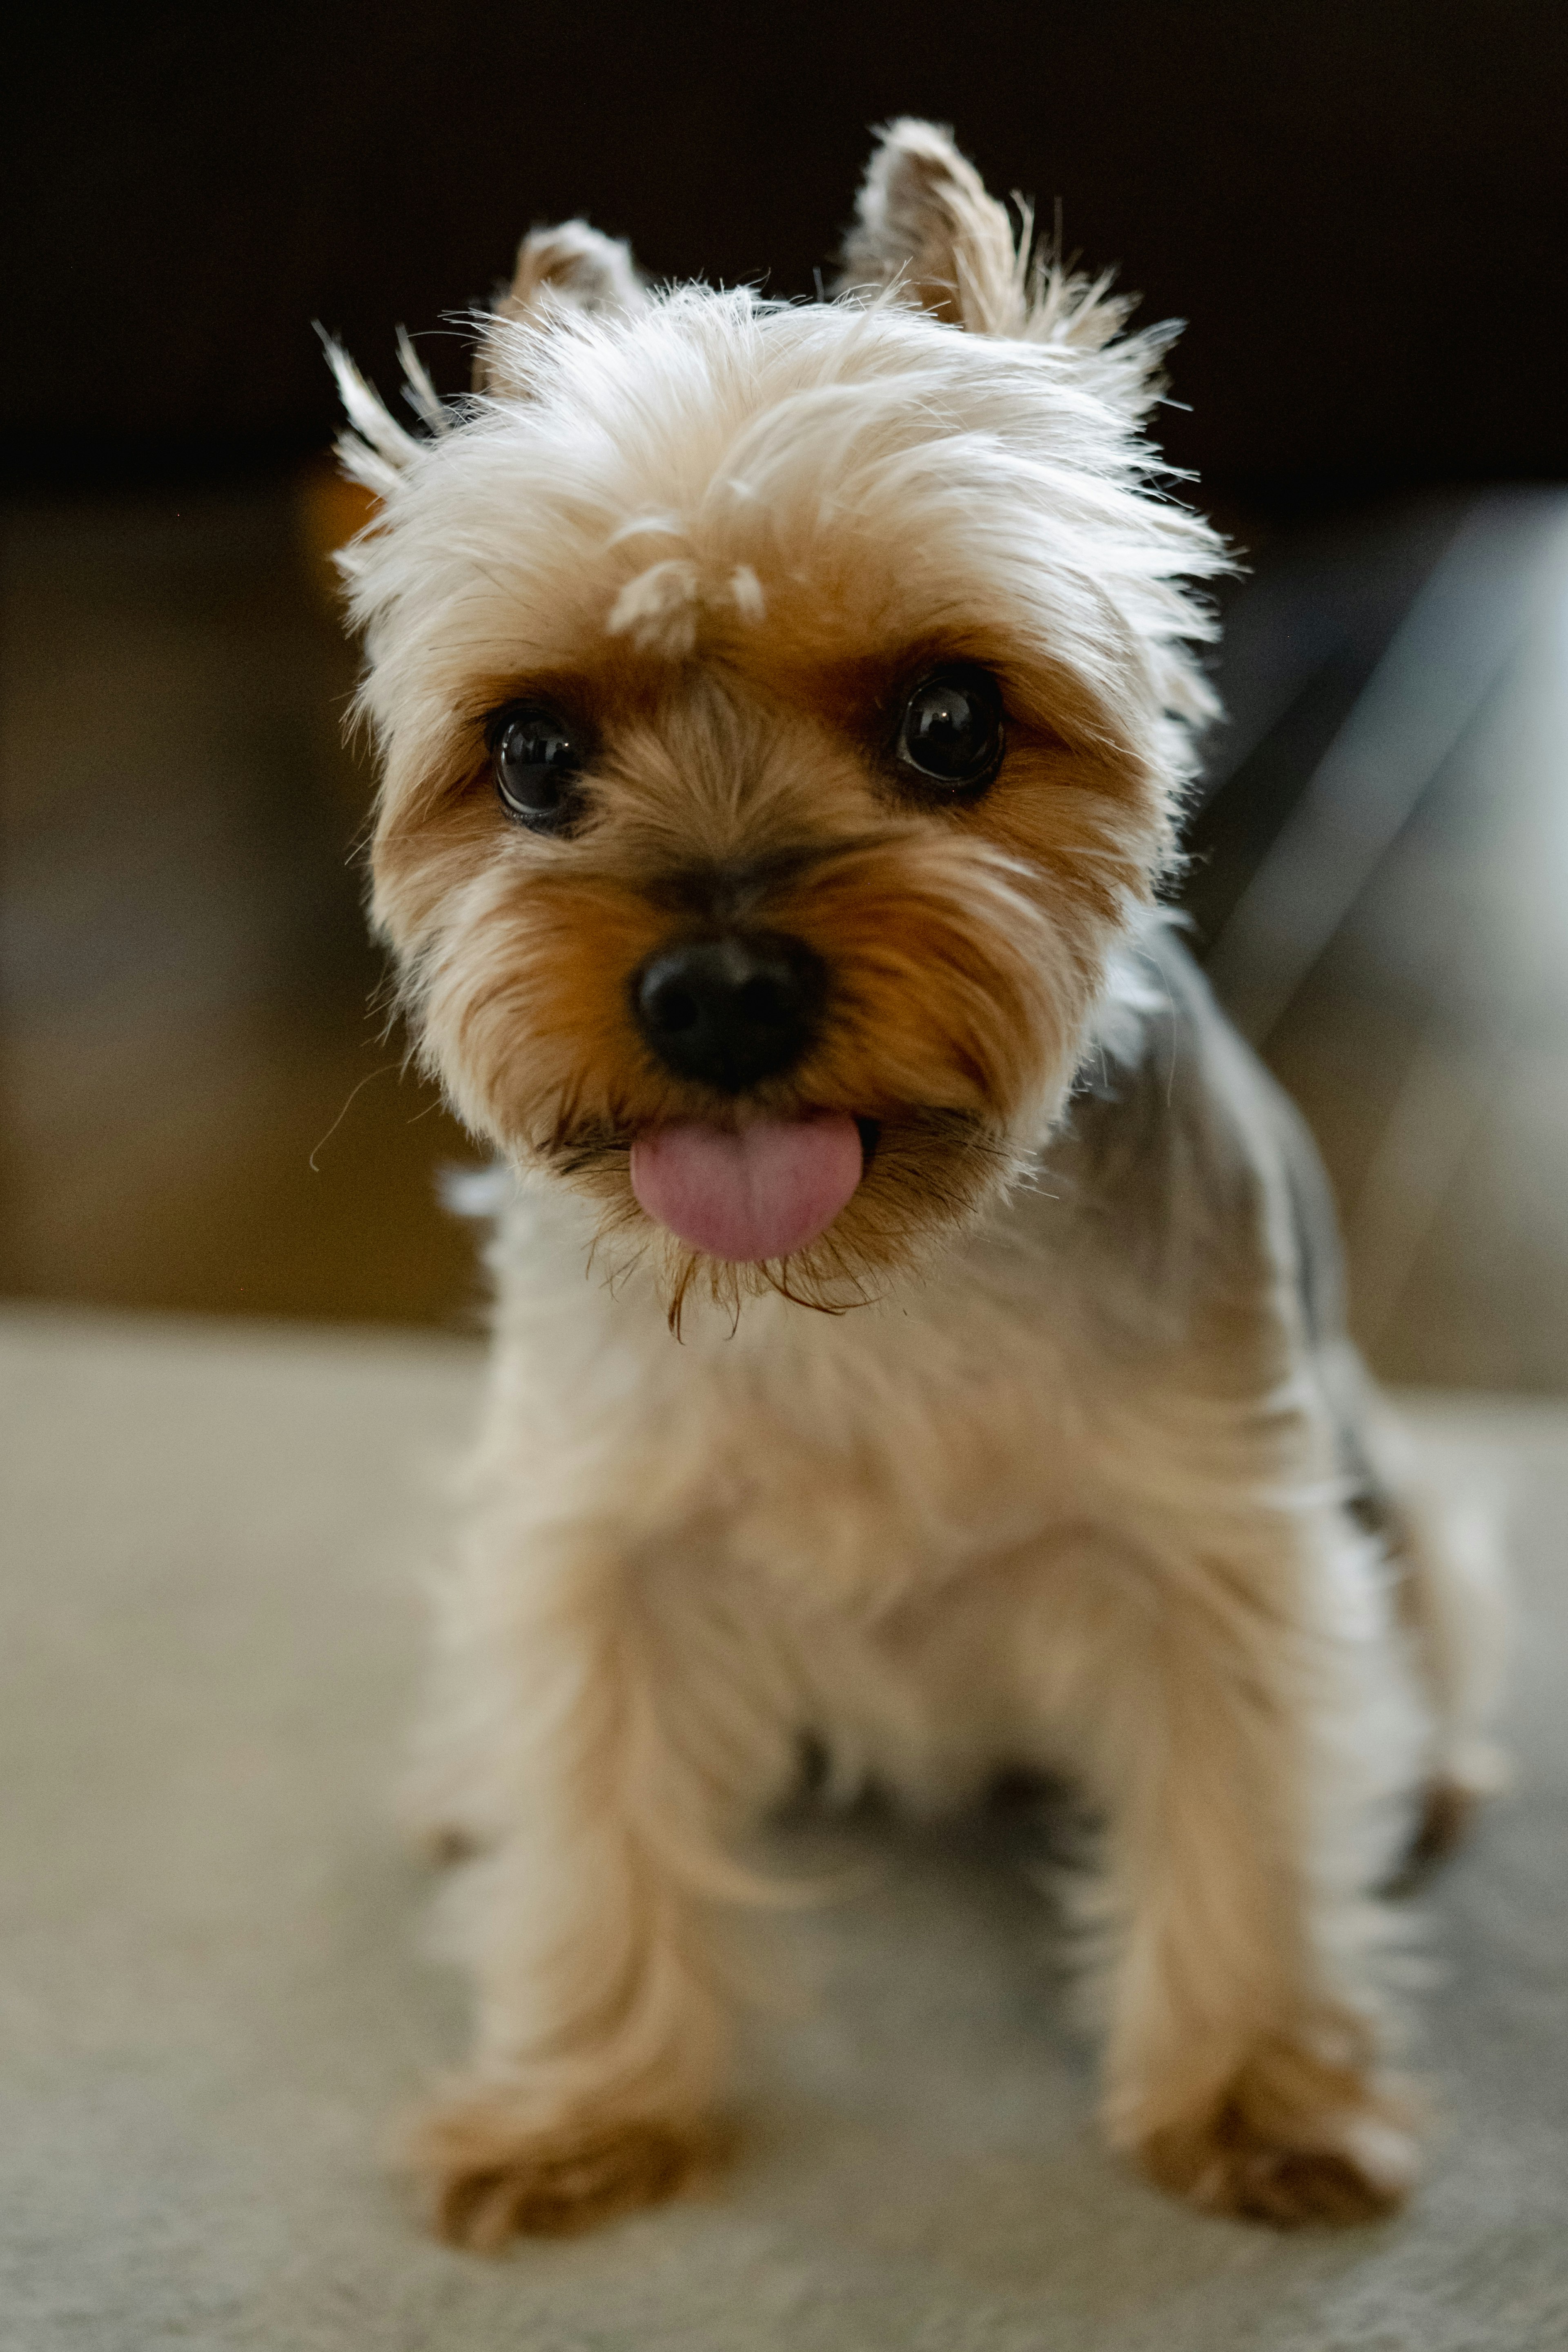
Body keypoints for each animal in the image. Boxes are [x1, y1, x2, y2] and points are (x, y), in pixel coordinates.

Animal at [331, 124, 1504, 2239]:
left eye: (952, 722)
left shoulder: (1217, 1532)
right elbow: (596, 1823)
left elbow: (1242, 1811)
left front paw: (1257, 2091)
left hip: (1398, 1490)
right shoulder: (596, 1539)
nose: (717, 991)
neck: (878, 1272)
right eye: (532, 755)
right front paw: (581, 2100)